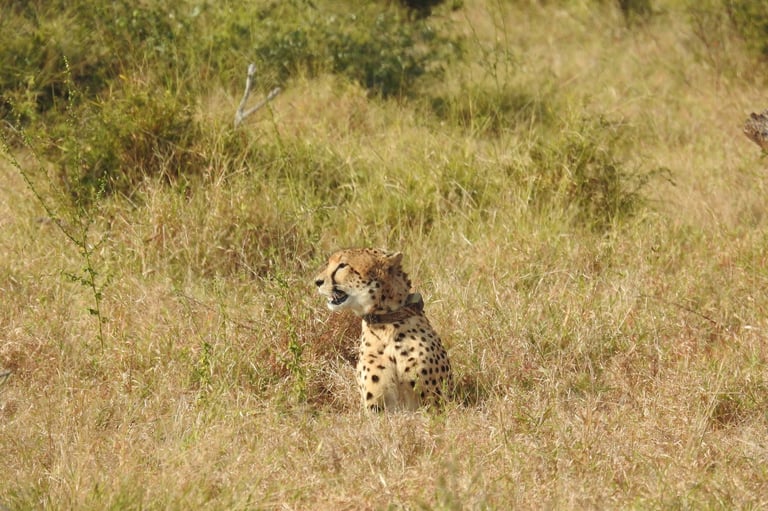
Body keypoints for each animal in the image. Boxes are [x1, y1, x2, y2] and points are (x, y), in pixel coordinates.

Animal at [314, 248, 451, 412]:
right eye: (329, 263)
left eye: (343, 265)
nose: (317, 282)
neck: (386, 326)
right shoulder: (376, 409)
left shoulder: (436, 403)